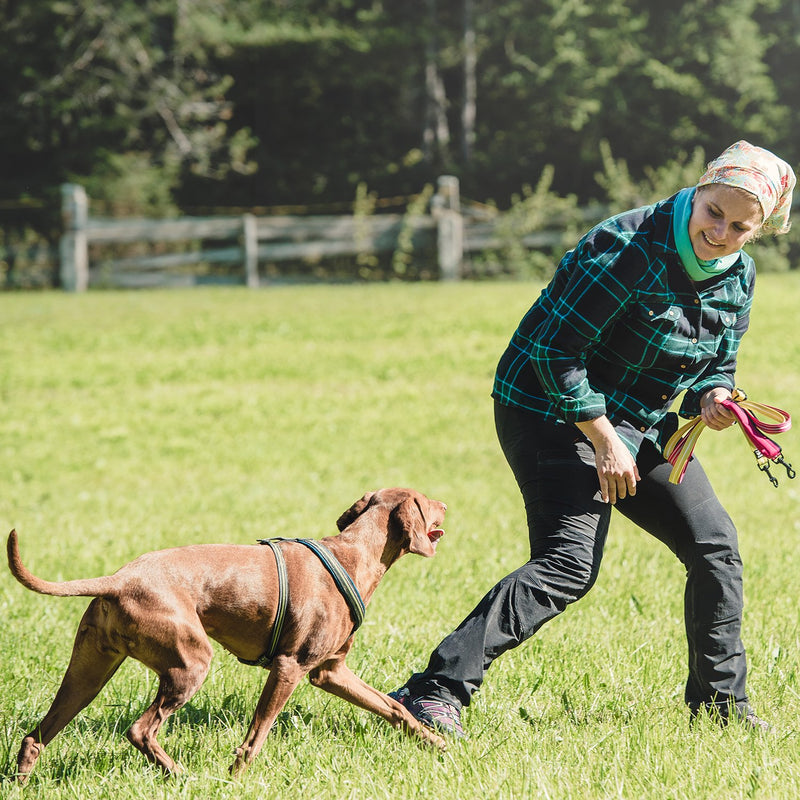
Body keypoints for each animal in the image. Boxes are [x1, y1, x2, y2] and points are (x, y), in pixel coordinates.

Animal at [6, 488, 446, 780]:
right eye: (426, 501)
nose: (446, 504)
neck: (352, 555)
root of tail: (119, 579)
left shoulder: (330, 672)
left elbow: (394, 708)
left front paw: (435, 742)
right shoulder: (289, 667)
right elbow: (257, 734)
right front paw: (236, 776)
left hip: (88, 675)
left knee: (37, 735)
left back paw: (22, 781)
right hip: (190, 663)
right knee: (140, 729)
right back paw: (180, 775)